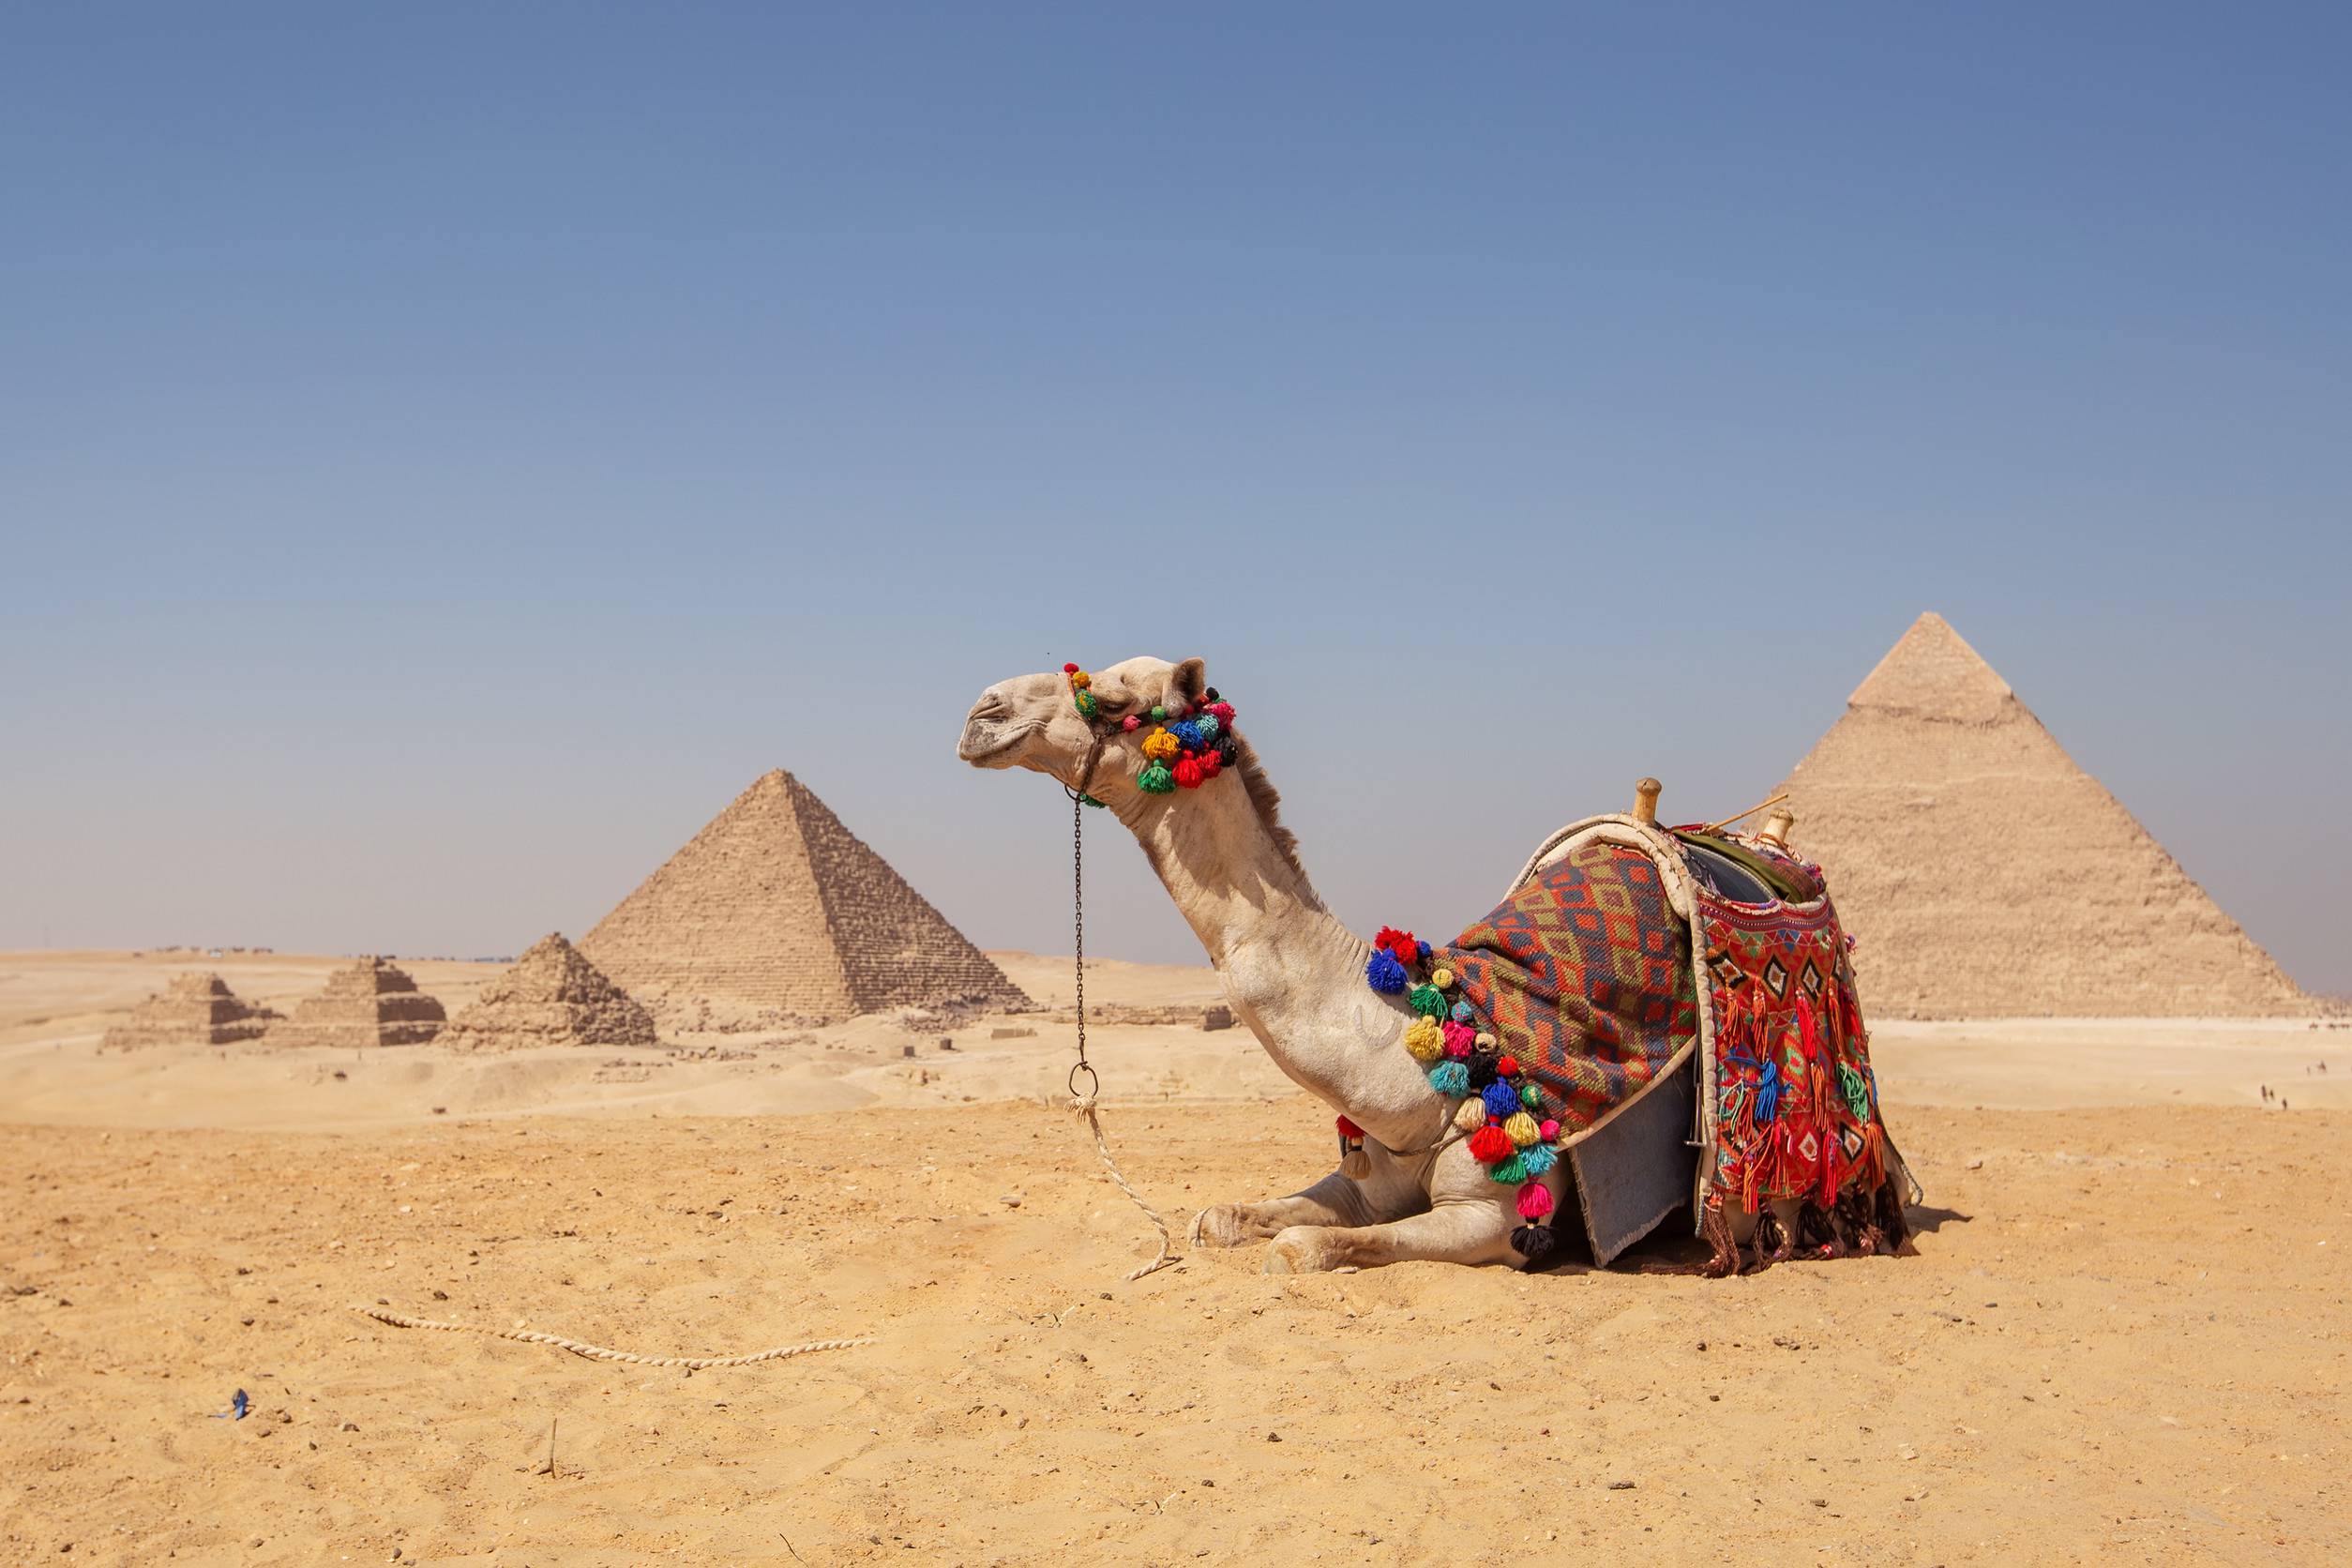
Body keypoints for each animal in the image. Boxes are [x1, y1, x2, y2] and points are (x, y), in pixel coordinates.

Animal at [958, 654, 1565, 1273]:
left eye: (1111, 702)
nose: (983, 711)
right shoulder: (1367, 1180)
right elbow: (1220, 1219)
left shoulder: (1493, 1217)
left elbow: (1303, 1246)